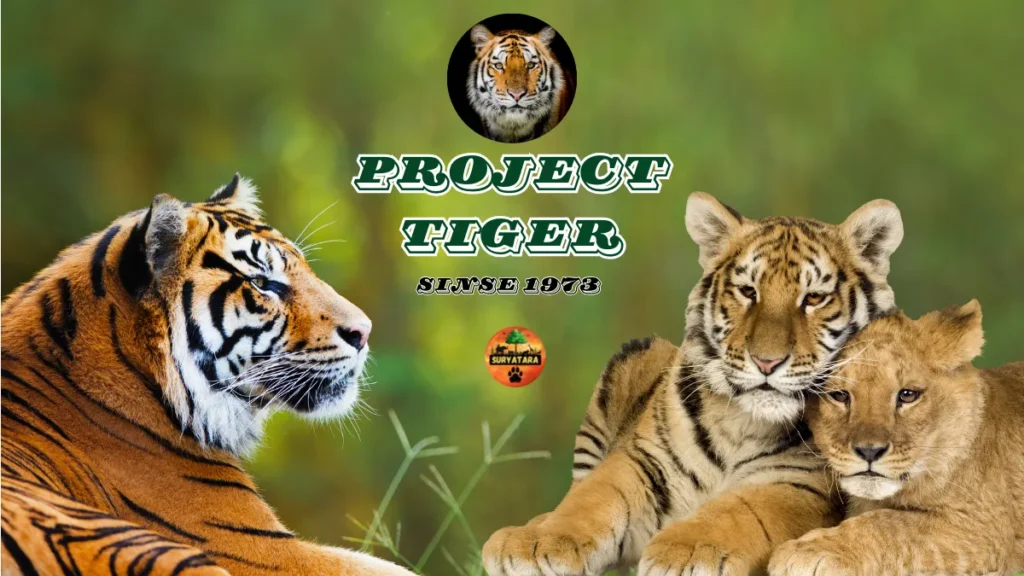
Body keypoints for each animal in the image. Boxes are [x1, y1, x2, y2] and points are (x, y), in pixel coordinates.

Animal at [482, 192, 906, 575]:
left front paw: (686, 551)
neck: (743, 421)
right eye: (748, 291)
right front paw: (534, 543)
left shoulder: (799, 485)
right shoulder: (642, 460)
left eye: (814, 298)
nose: (766, 362)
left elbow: (741, 509)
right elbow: (592, 498)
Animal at [769, 301, 1024, 576]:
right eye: (839, 395)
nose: (869, 452)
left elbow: (892, 524)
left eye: (908, 395)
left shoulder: (985, 529)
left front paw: (811, 551)